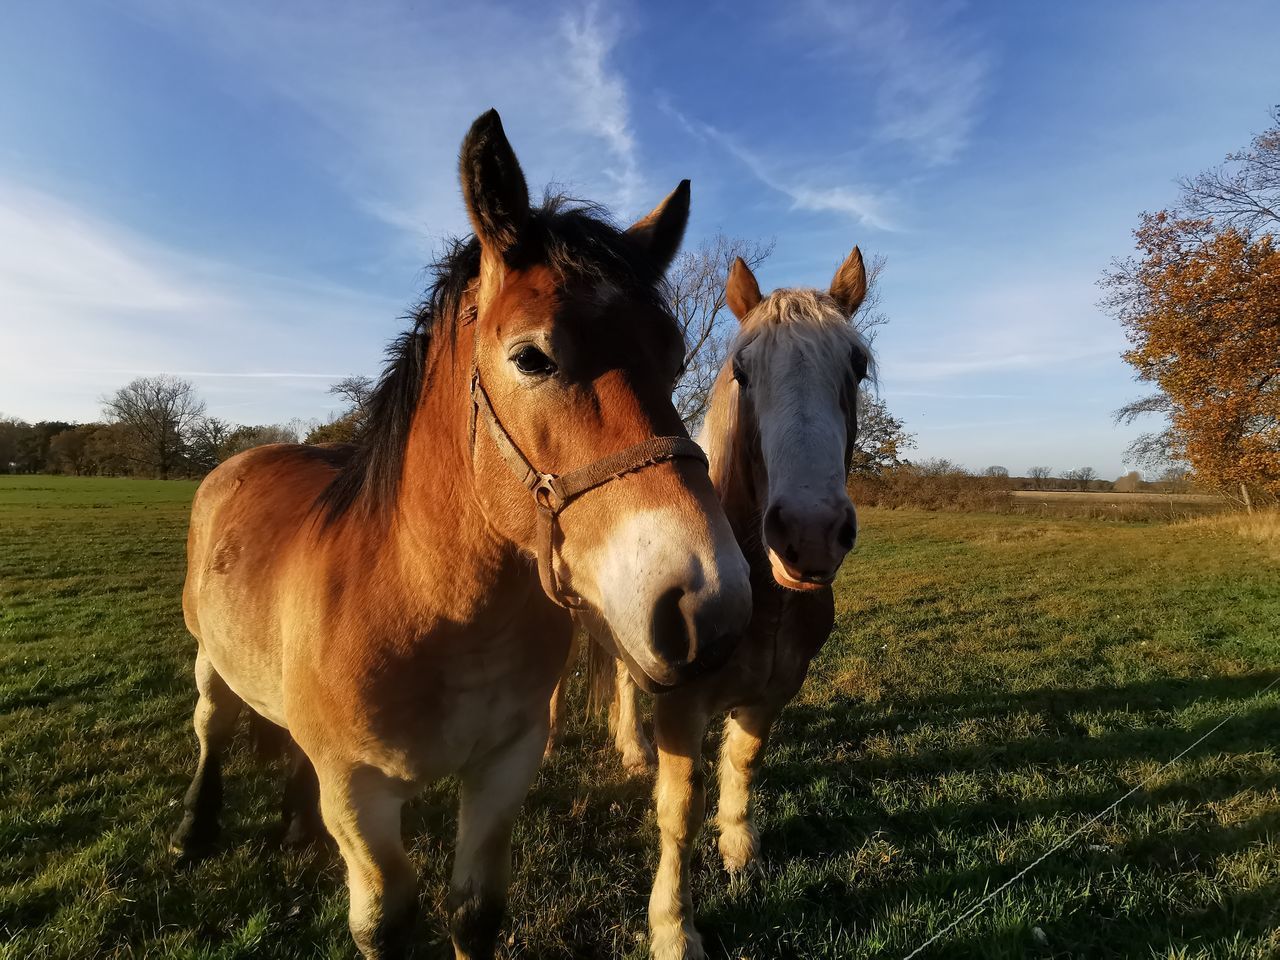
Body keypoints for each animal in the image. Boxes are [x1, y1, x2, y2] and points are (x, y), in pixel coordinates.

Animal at [170, 112, 747, 960]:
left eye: (674, 359)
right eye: (532, 357)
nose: (709, 607)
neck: (429, 608)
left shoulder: (505, 767)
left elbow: (475, 912)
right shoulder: (360, 798)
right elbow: (384, 922)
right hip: (211, 657)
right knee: (211, 724)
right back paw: (192, 828)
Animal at [547, 249, 870, 960]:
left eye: (857, 366)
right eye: (744, 372)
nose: (808, 532)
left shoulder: (773, 692)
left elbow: (742, 762)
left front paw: (740, 848)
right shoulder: (683, 706)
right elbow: (680, 811)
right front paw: (673, 928)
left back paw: (630, 748)